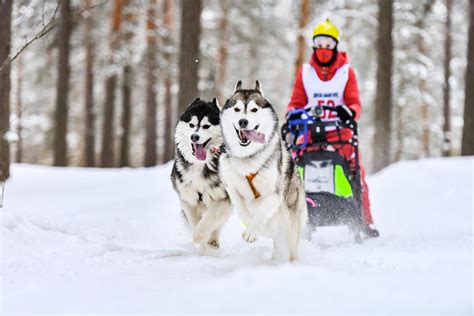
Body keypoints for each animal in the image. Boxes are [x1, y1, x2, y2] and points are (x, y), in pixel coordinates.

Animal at [171, 97, 232, 251]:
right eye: (191, 125)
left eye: (206, 126)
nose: (194, 136)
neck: (201, 164)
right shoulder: (186, 197)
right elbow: (194, 220)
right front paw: (200, 239)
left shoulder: (224, 198)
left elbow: (210, 219)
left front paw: (200, 236)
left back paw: (213, 240)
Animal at [218, 80, 308, 260]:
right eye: (237, 109)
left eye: (254, 109)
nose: (243, 122)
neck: (247, 158)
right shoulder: (231, 187)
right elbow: (242, 209)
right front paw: (251, 225)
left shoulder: (274, 194)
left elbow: (261, 212)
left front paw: (251, 232)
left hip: (291, 220)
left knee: (291, 247)